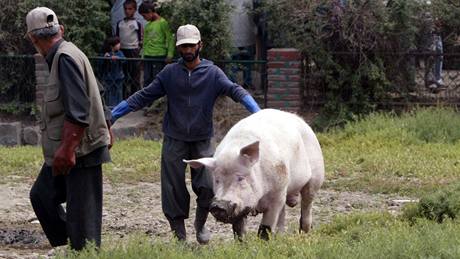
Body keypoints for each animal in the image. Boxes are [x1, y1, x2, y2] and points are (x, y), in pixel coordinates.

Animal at [183, 108, 324, 241]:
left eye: (240, 178)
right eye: (217, 180)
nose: (219, 205)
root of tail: (298, 119)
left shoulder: (276, 193)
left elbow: (265, 229)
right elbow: (238, 231)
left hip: (315, 176)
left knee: (307, 204)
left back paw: (304, 233)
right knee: (283, 214)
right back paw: (280, 238)